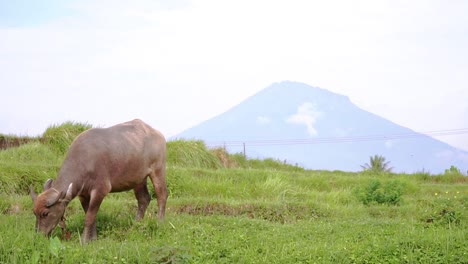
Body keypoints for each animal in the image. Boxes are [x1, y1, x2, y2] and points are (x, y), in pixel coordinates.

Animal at [29, 119, 168, 243]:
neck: (84, 162)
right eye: (34, 213)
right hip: (139, 178)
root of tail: (157, 133)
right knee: (144, 199)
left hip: (158, 170)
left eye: (45, 213)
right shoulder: (83, 194)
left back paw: (160, 222)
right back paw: (136, 224)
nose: (39, 235)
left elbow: (89, 217)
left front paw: (84, 240)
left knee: (162, 195)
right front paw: (93, 238)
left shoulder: (100, 190)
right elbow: (91, 215)